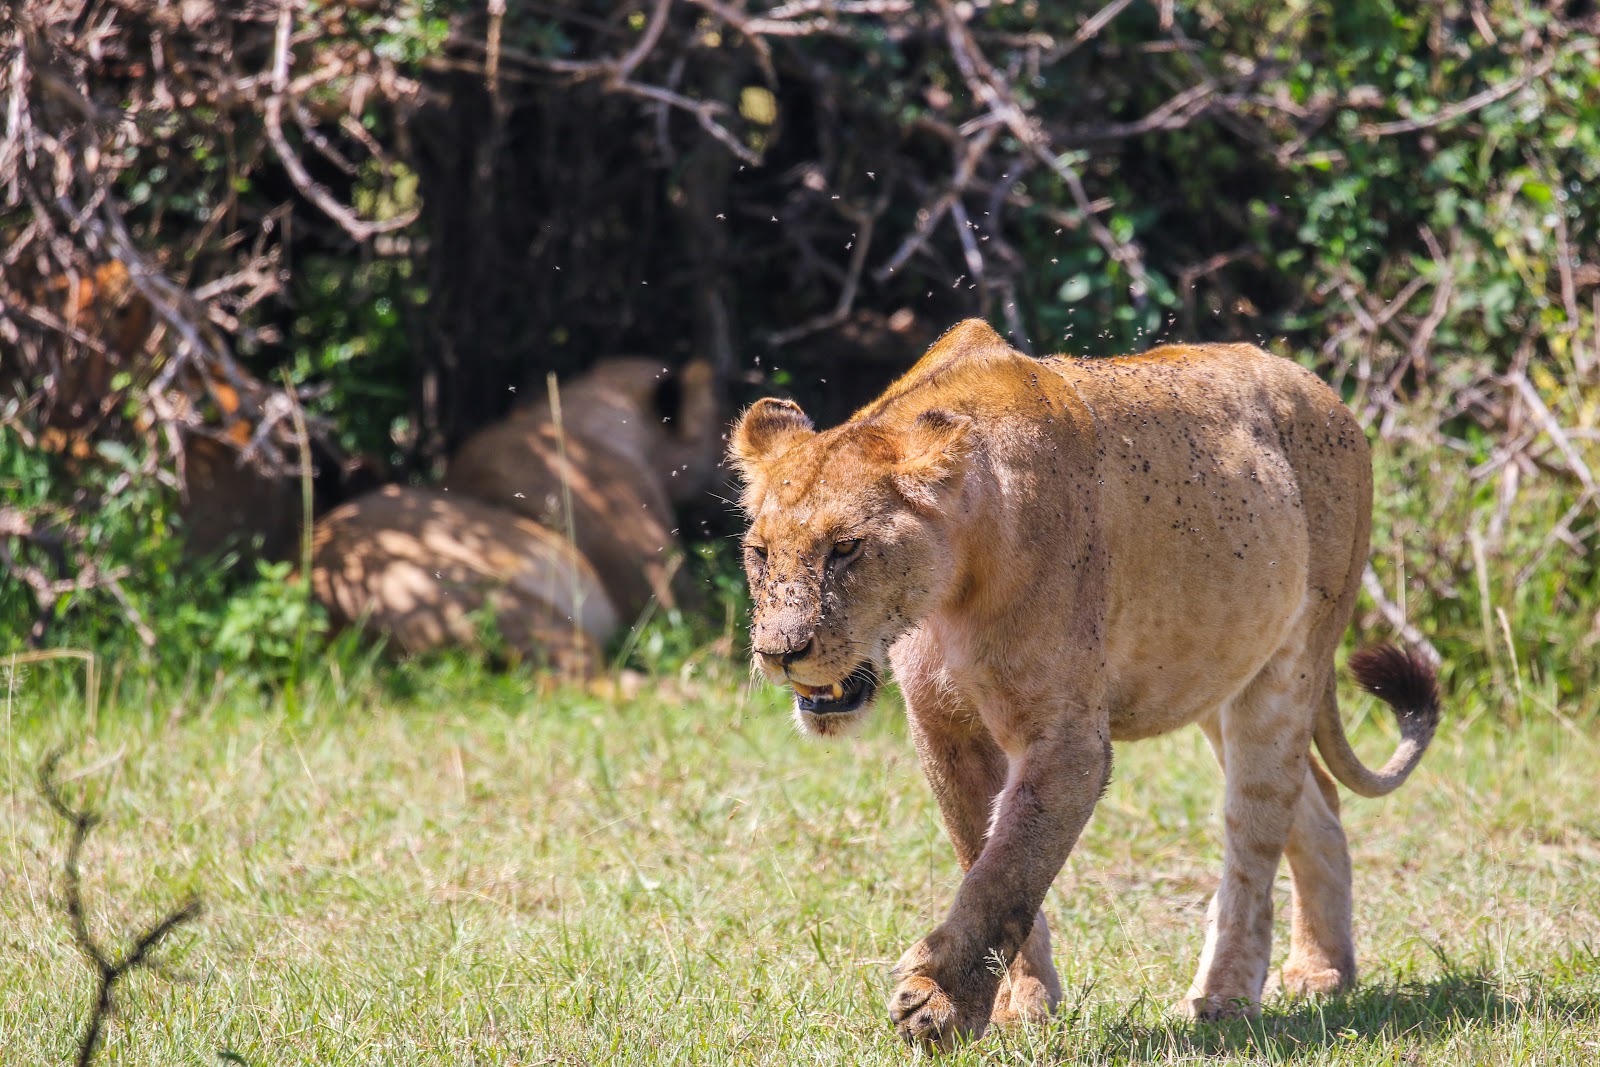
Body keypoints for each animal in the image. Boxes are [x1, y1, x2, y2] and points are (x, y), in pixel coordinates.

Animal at [728, 319, 1441, 1049]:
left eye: (846, 548)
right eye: (760, 552)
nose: (779, 652)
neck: (954, 582)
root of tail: (1326, 393)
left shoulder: (1066, 741)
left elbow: (1006, 873)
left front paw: (939, 1003)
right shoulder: (944, 726)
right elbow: (981, 853)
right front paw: (1021, 1005)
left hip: (1290, 667)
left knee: (1256, 832)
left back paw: (1224, 997)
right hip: (1218, 674)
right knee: (1318, 804)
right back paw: (1321, 971)